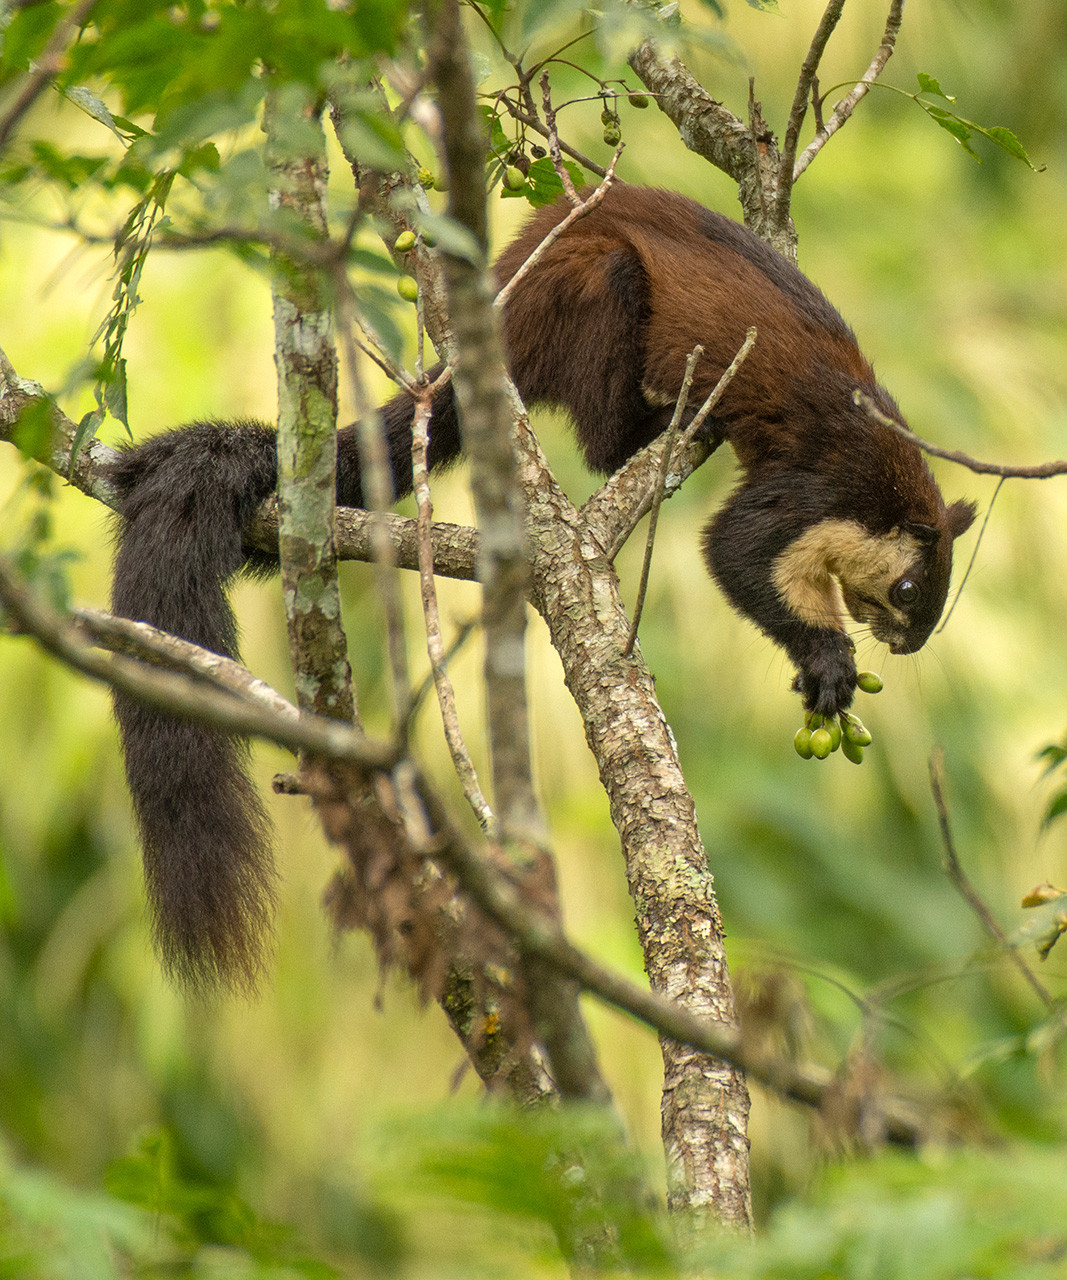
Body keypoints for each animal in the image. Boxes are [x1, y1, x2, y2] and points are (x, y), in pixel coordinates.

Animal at [108, 182, 976, 991]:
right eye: (909, 591)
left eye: (934, 604)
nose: (908, 644)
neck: (880, 466)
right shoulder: (806, 485)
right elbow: (733, 550)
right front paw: (825, 663)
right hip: (596, 287)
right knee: (601, 436)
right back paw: (667, 417)